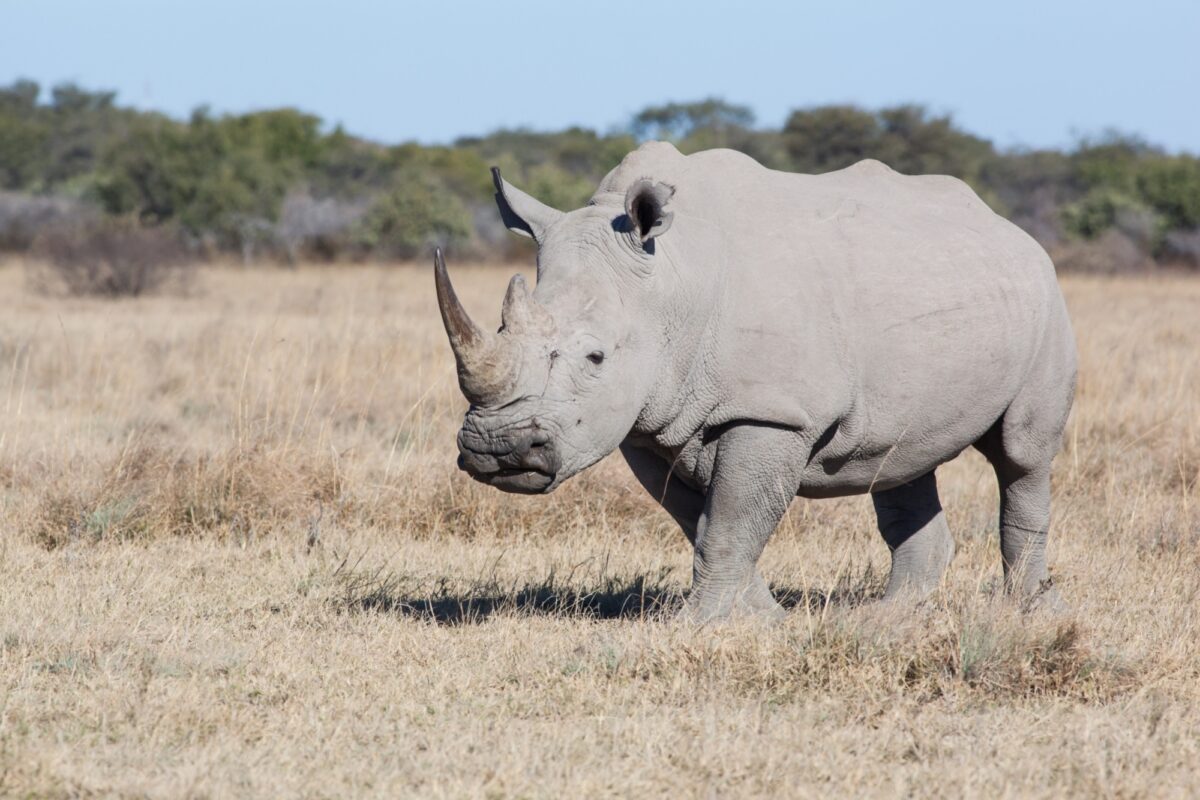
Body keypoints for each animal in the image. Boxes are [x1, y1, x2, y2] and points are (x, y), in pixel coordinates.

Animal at [434, 141, 1077, 620]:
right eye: (500, 328)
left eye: (595, 357)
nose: (497, 450)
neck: (672, 284)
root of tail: (1008, 227)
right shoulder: (647, 422)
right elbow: (703, 522)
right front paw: (761, 619)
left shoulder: (773, 411)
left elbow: (731, 520)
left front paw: (698, 625)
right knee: (897, 459)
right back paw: (889, 619)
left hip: (1046, 299)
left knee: (1022, 454)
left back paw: (1030, 613)